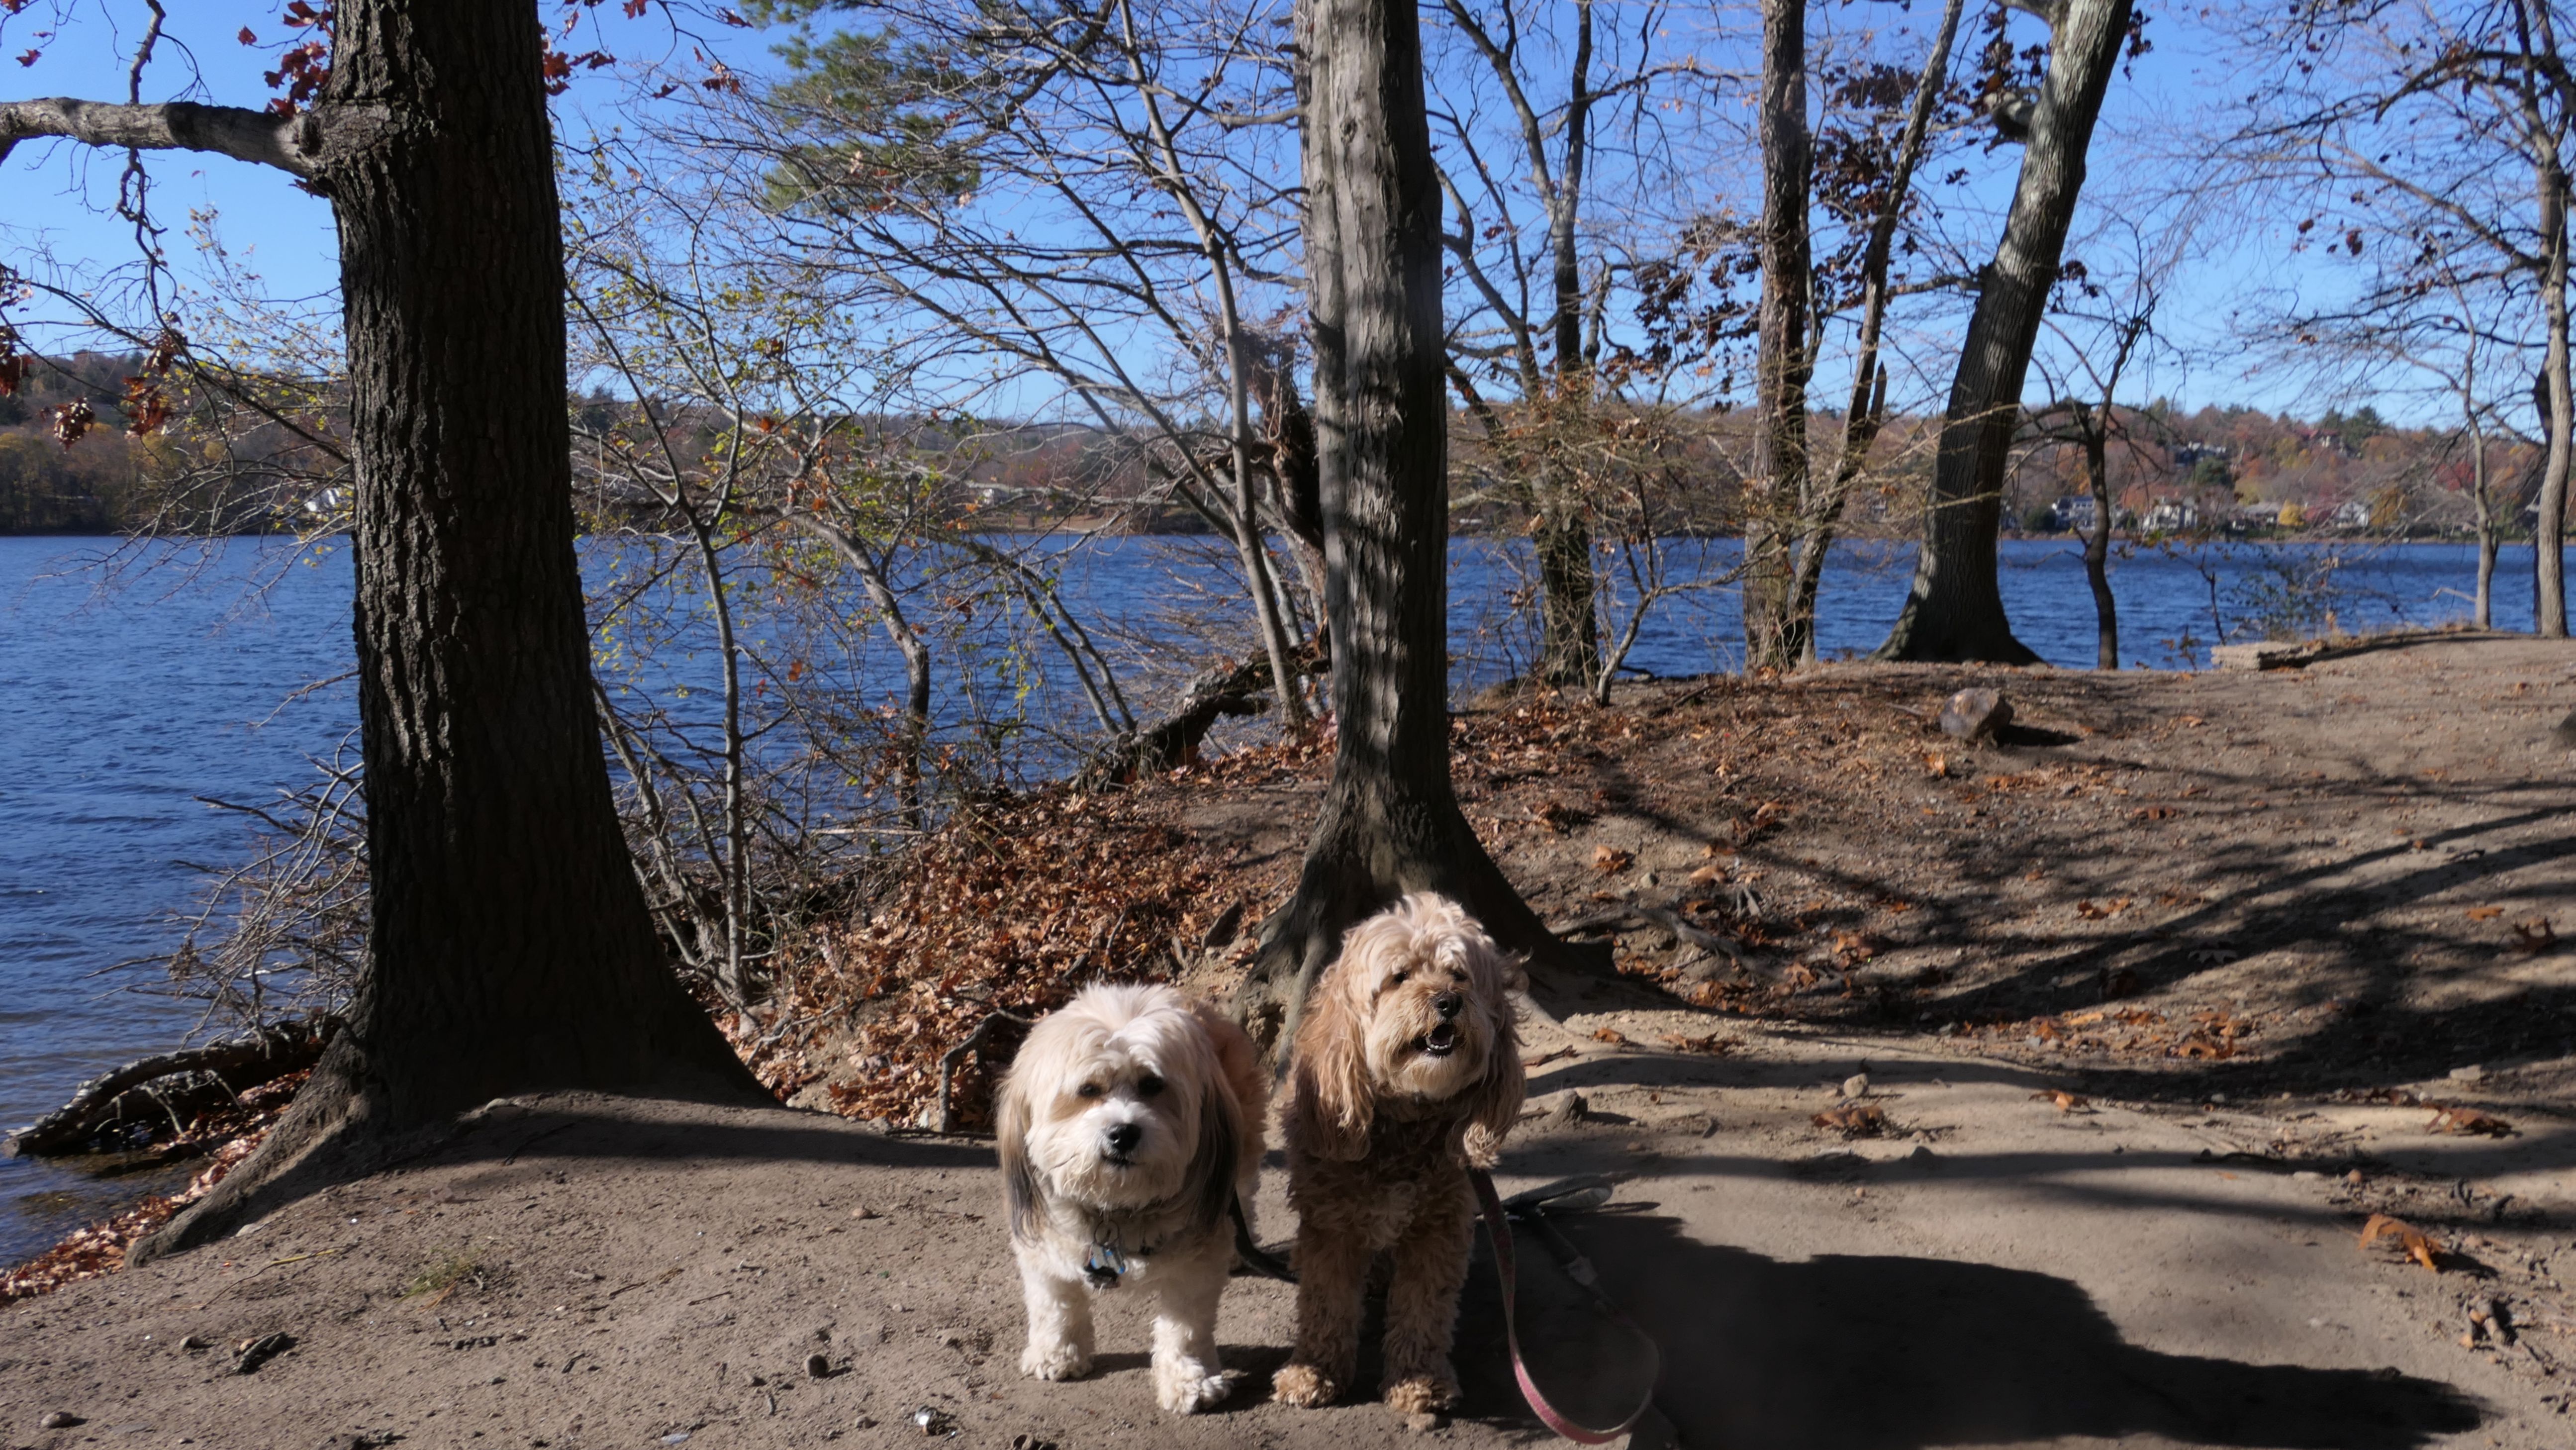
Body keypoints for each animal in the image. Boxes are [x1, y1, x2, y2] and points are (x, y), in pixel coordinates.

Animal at [996, 983, 1267, 1414]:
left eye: (1152, 1085)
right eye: (1088, 1089)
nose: (1123, 1132)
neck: (1119, 1207)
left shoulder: (1197, 1266)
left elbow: (1185, 1326)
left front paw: (1190, 1379)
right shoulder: (1043, 1248)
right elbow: (1055, 1303)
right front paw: (1057, 1353)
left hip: (1242, 1144)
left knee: (1244, 1192)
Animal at [1271, 892, 1524, 1414]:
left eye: (1459, 975)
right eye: (1399, 976)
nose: (1448, 1001)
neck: (1404, 1120)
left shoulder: (1437, 1228)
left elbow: (1423, 1306)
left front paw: (1418, 1378)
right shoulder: (1330, 1224)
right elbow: (1325, 1300)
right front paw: (1315, 1370)